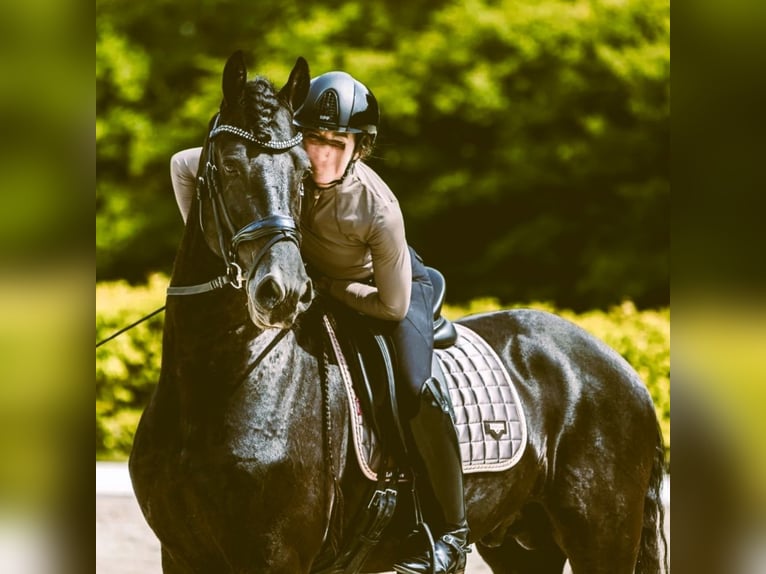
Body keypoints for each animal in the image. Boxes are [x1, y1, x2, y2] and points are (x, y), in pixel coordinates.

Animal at [129, 51, 668, 572]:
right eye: (229, 165)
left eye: (302, 171)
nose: (285, 291)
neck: (216, 382)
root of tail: (624, 370)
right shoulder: (181, 555)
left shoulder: (274, 556)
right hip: (523, 546)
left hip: (602, 540)